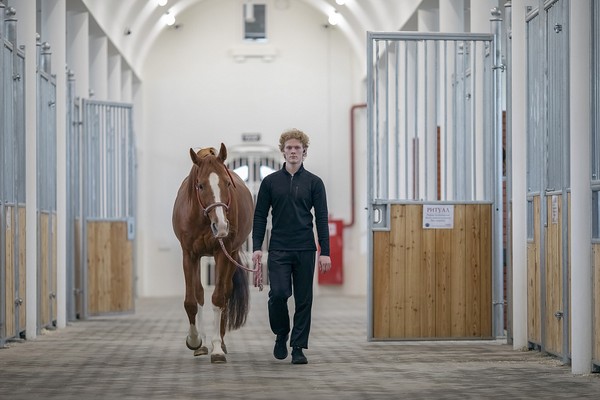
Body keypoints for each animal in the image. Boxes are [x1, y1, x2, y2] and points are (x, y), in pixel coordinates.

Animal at [171, 143, 253, 362]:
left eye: (227, 183)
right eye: (200, 185)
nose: (221, 226)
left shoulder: (222, 253)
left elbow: (218, 298)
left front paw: (217, 348)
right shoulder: (189, 254)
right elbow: (191, 301)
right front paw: (194, 341)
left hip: (232, 254)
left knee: (225, 292)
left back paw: (221, 342)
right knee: (199, 293)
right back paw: (202, 344)